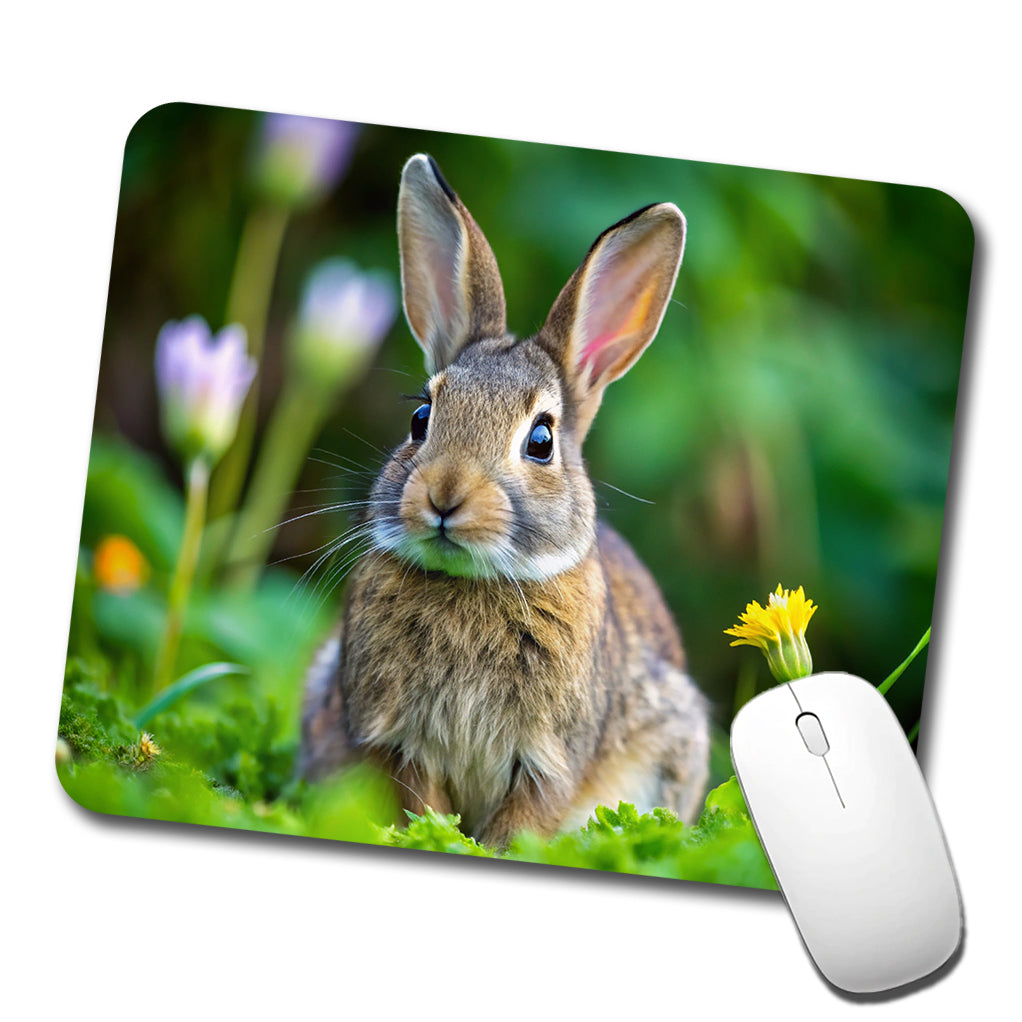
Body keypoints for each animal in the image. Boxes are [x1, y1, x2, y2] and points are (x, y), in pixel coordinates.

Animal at [299, 153, 709, 849]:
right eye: (420, 418)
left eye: (541, 440)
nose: (443, 495)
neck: (472, 584)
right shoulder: (399, 741)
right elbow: (422, 801)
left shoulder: (549, 760)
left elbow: (523, 822)